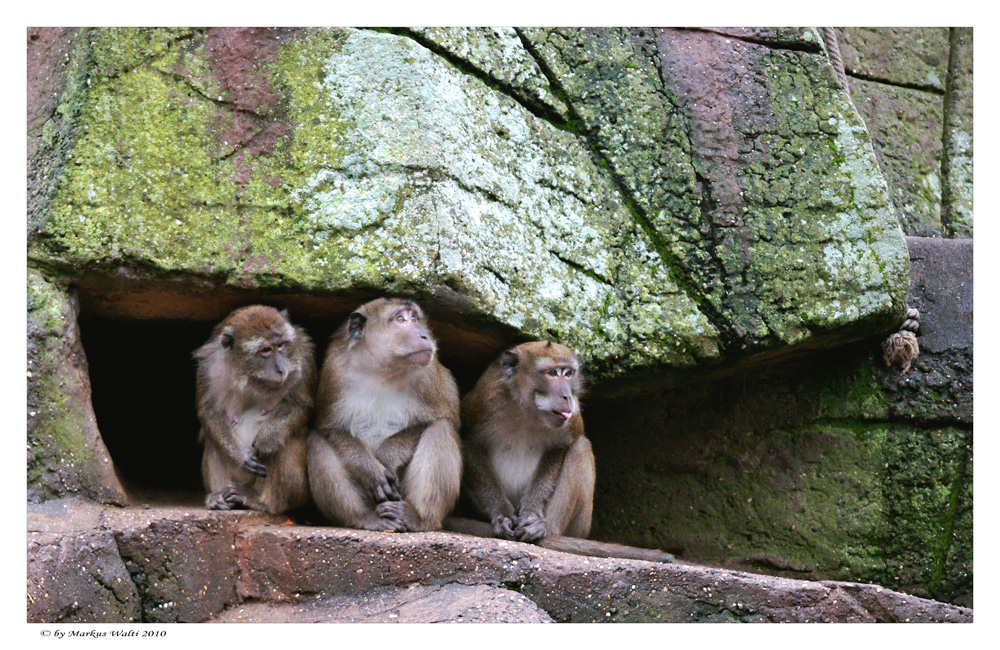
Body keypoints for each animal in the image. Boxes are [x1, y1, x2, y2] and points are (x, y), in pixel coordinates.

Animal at [196, 306, 316, 512]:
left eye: (280, 346)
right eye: (265, 350)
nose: (281, 369)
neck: (248, 374)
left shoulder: (303, 355)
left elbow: (301, 405)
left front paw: (267, 439)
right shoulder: (207, 366)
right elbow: (209, 411)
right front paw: (241, 456)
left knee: (285, 441)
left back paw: (261, 501)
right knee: (213, 442)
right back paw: (217, 496)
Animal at [306, 298, 462, 532]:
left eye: (414, 318)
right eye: (400, 319)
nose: (423, 336)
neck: (383, 371)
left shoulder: (430, 376)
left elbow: (445, 418)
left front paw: (388, 456)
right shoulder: (334, 372)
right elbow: (327, 428)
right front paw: (369, 469)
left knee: (440, 428)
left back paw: (418, 518)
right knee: (316, 441)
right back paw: (365, 518)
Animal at [450, 340, 676, 560]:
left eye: (568, 373)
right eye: (551, 373)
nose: (567, 395)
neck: (528, 410)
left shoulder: (573, 413)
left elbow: (563, 446)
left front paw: (532, 511)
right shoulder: (485, 399)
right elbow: (469, 443)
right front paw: (502, 514)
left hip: (580, 526)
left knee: (581, 447)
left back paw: (546, 530)